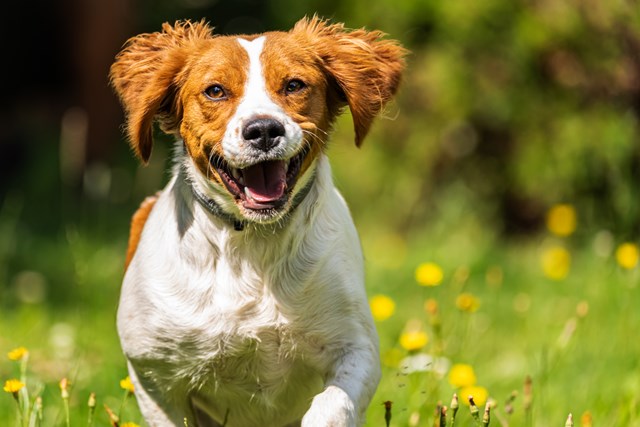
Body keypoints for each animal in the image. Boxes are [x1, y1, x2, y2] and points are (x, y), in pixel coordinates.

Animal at [110, 16, 404, 427]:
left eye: (294, 85)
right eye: (215, 90)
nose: (263, 129)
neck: (252, 242)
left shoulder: (356, 346)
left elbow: (332, 406)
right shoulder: (153, 371)